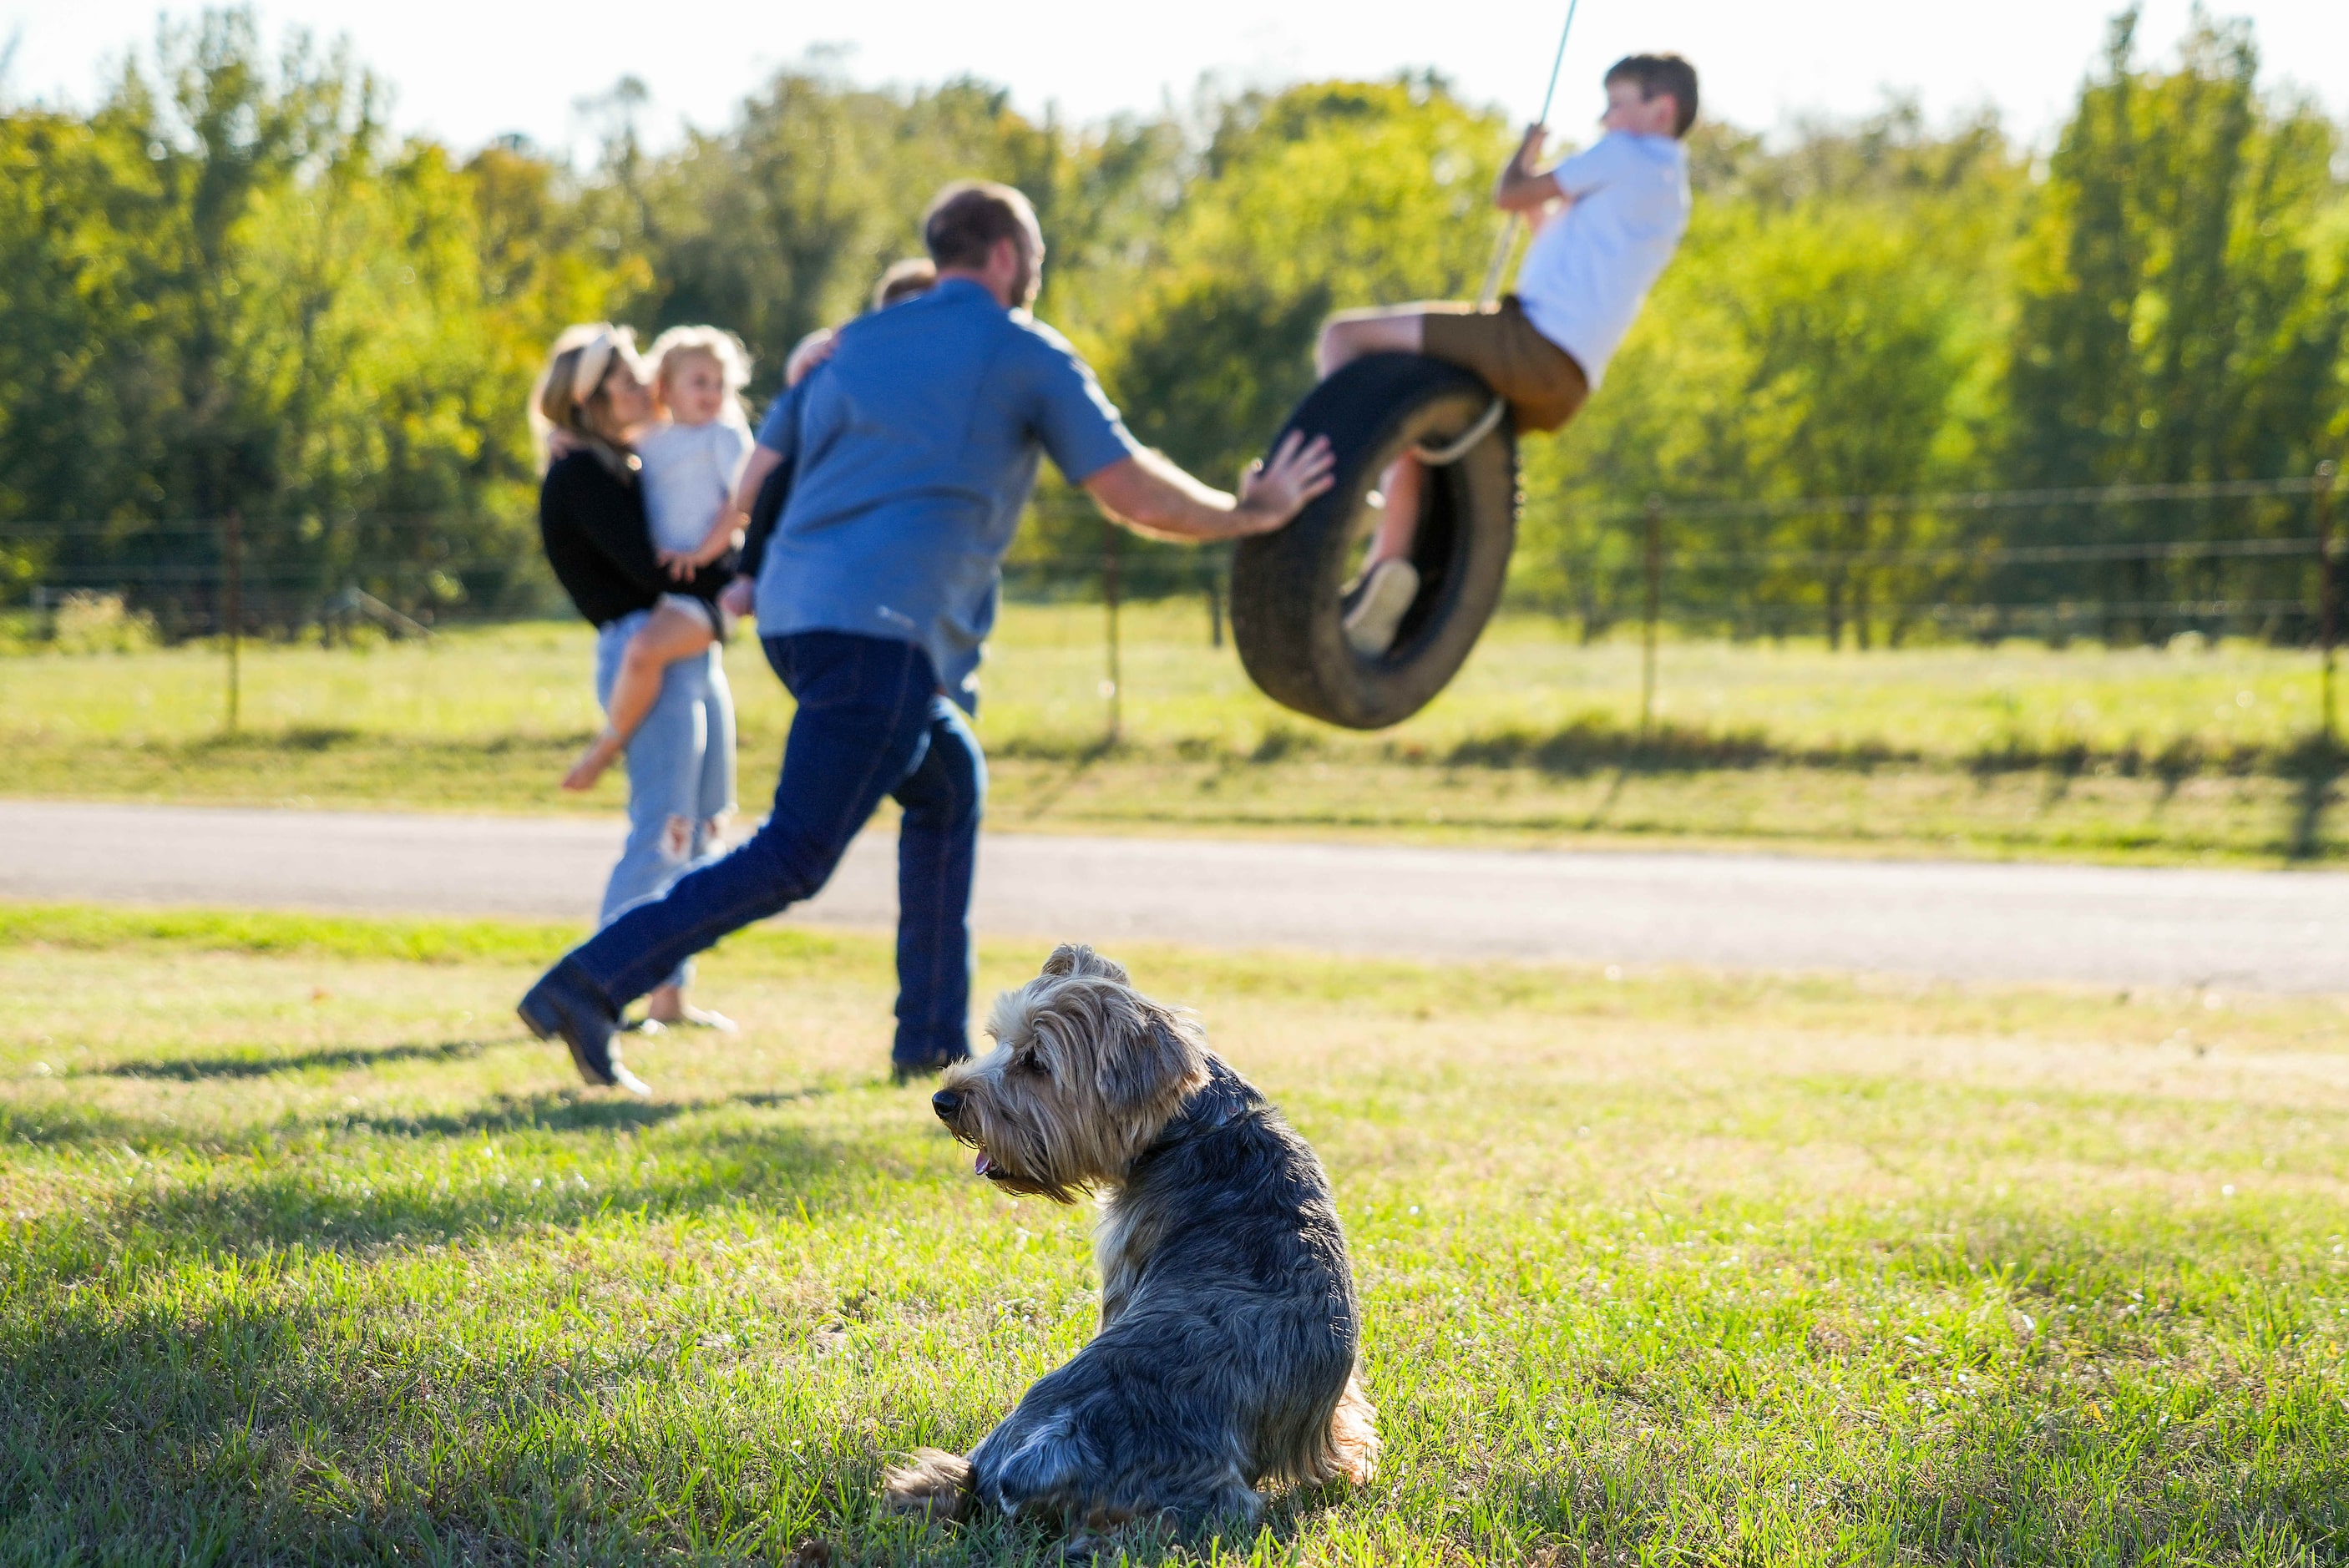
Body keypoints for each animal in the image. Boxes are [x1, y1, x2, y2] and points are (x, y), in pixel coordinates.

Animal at [892, 948, 1371, 1540]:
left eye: (1036, 1062)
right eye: (999, 1040)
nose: (942, 1099)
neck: (1189, 1128)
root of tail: (1031, 1464)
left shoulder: (1123, 1265)